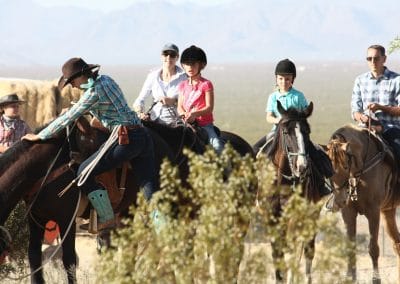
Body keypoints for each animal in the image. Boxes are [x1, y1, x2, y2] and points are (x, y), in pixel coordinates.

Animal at [324, 125, 400, 284]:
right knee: (397, 244)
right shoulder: (348, 213)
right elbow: (350, 248)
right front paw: (349, 278)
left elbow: (373, 248)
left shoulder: (373, 212)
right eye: (328, 168)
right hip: (388, 211)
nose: (340, 200)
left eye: (345, 166)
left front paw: (376, 279)